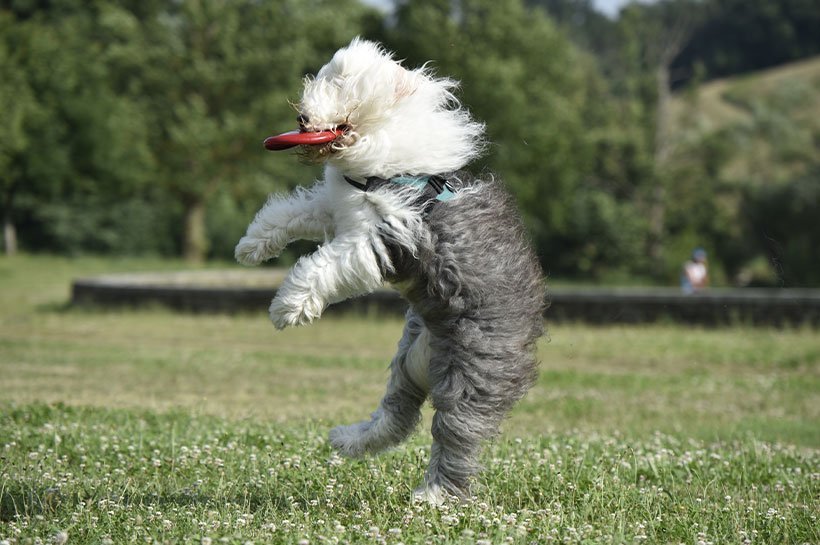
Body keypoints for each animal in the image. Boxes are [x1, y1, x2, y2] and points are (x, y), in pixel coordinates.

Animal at [237, 38, 544, 504]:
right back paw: (348, 439)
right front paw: (252, 244)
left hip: (469, 378)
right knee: (398, 415)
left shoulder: (380, 238)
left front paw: (286, 306)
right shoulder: (340, 210)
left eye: (342, 84)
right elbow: (293, 213)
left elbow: (322, 265)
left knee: (454, 436)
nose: (302, 118)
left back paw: (433, 495)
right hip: (410, 361)